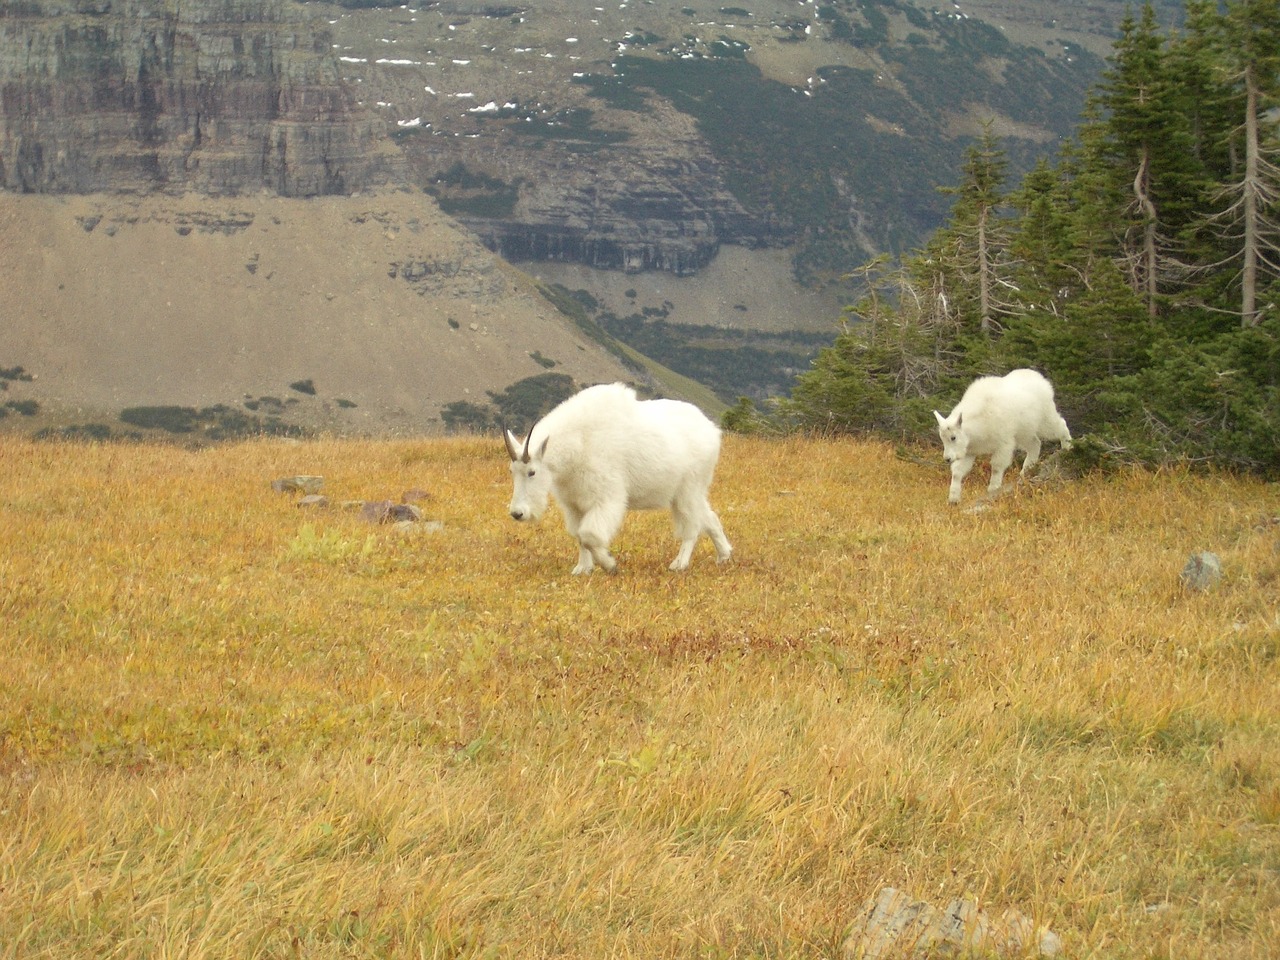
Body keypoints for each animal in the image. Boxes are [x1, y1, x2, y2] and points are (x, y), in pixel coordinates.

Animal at [504, 384, 737, 578]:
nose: (517, 513)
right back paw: (724, 556)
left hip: (688, 490)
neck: (579, 443)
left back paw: (679, 564)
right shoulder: (574, 505)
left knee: (691, 527)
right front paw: (582, 569)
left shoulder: (606, 498)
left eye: (532, 472)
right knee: (709, 518)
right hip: (687, 493)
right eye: (512, 471)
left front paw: (610, 565)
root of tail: (712, 430)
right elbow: (579, 536)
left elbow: (588, 535)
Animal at [931, 366, 1070, 506]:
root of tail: (1042, 380)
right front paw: (953, 499)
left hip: (1044, 419)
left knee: (1060, 425)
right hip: (1024, 431)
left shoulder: (1003, 444)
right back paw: (1025, 472)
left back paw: (1067, 448)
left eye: (953, 437)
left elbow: (997, 467)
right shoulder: (969, 451)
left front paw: (993, 489)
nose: (947, 458)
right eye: (942, 438)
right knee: (1035, 444)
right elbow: (957, 472)